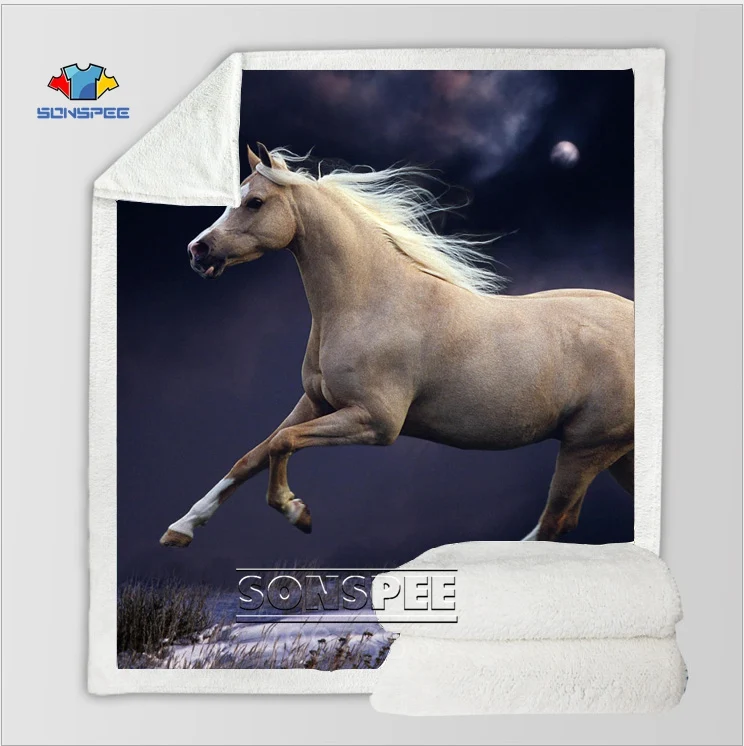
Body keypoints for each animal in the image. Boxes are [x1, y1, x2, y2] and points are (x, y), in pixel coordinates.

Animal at [160, 143, 634, 548]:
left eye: (255, 202)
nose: (197, 251)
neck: (373, 302)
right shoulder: (316, 402)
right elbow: (252, 455)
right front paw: (181, 528)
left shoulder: (376, 422)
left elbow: (282, 444)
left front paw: (297, 511)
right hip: (615, 453)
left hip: (586, 447)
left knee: (556, 522)